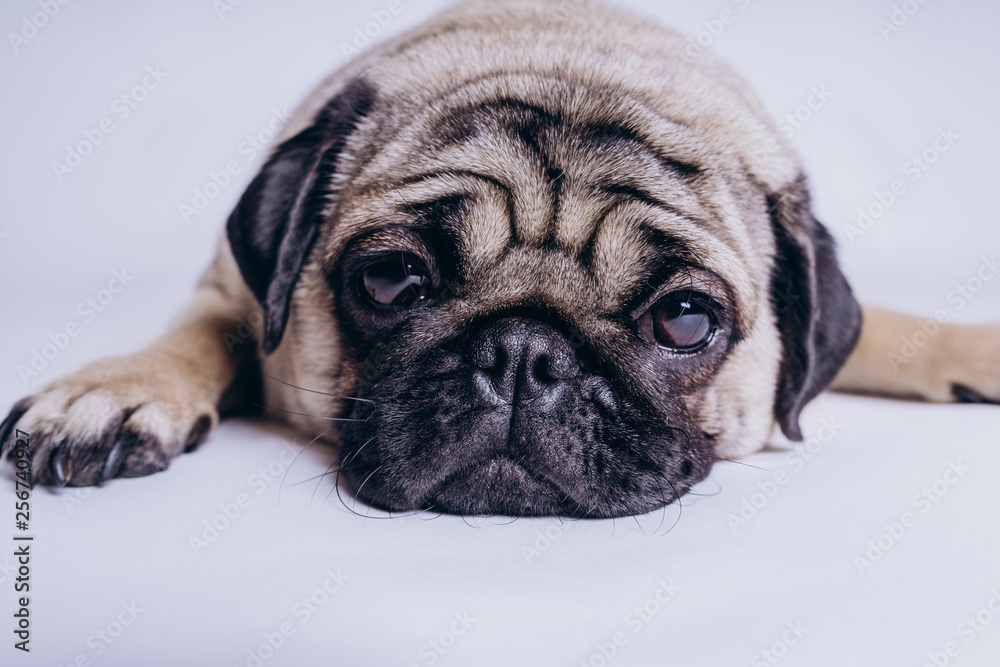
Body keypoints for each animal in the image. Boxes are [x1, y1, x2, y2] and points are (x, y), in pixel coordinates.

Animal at [1, 0, 1000, 516]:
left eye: (685, 318)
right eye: (391, 279)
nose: (525, 351)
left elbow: (896, 332)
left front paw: (972, 350)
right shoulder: (228, 289)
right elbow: (201, 332)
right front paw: (116, 389)